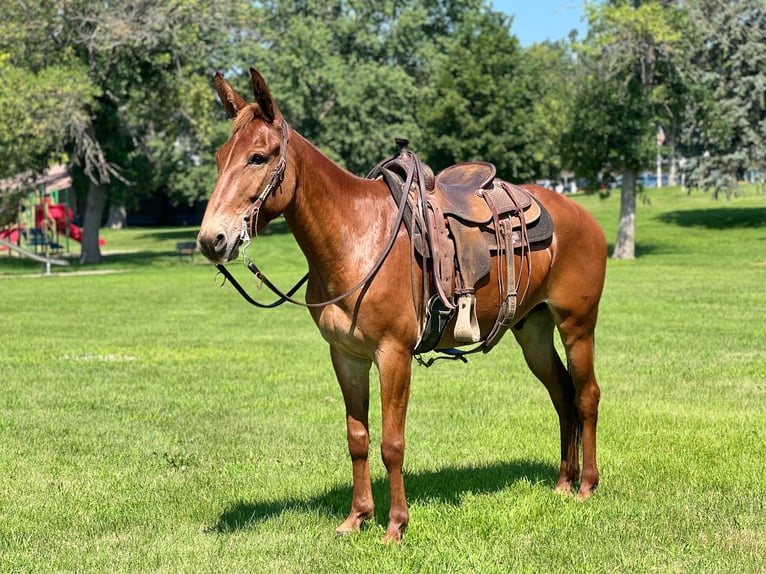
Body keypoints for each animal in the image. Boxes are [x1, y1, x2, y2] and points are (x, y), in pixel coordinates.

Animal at [198, 67, 608, 544]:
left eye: (259, 157)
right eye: (219, 157)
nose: (212, 240)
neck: (356, 237)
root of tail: (581, 214)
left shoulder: (393, 354)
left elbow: (392, 444)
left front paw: (395, 526)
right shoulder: (347, 356)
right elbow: (357, 437)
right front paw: (357, 518)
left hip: (577, 325)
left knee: (586, 395)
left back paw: (586, 486)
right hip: (534, 330)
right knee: (562, 395)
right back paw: (563, 483)